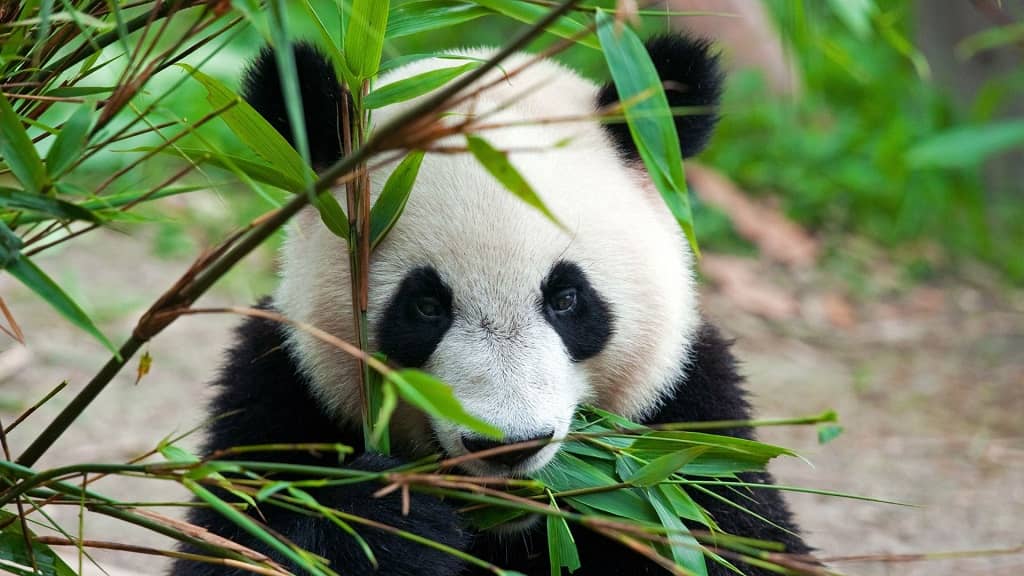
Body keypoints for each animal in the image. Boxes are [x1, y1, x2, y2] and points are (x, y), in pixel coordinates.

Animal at [170, 33, 810, 576]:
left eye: (566, 299)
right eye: (426, 307)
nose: (508, 443)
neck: (509, 523)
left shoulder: (691, 417)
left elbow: (735, 537)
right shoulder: (279, 386)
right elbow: (238, 537)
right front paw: (391, 521)